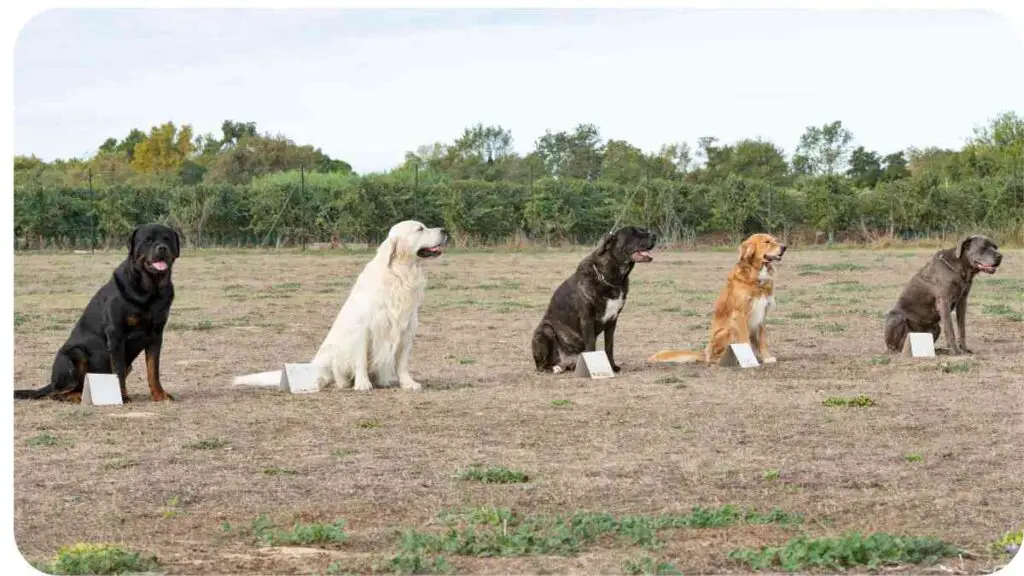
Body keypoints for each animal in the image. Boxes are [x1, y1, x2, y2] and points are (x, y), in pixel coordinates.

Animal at [651, 230, 786, 360]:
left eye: (775, 240)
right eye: (767, 242)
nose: (784, 247)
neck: (755, 275)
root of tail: (705, 351)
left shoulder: (762, 312)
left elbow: (763, 340)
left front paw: (767, 357)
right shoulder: (740, 313)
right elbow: (745, 340)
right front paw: (750, 359)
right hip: (728, 329)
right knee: (714, 357)